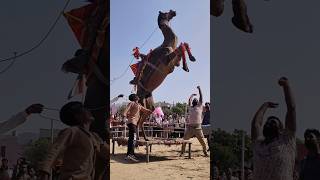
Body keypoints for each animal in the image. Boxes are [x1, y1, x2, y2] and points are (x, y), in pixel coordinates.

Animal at [132, 10, 195, 141]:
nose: (174, 11)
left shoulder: (172, 64)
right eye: (166, 13)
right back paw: (139, 138)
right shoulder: (167, 60)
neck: (168, 44)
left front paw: (189, 63)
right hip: (139, 99)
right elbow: (181, 47)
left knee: (144, 115)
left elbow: (183, 45)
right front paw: (187, 64)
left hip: (148, 98)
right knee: (138, 118)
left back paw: (145, 138)